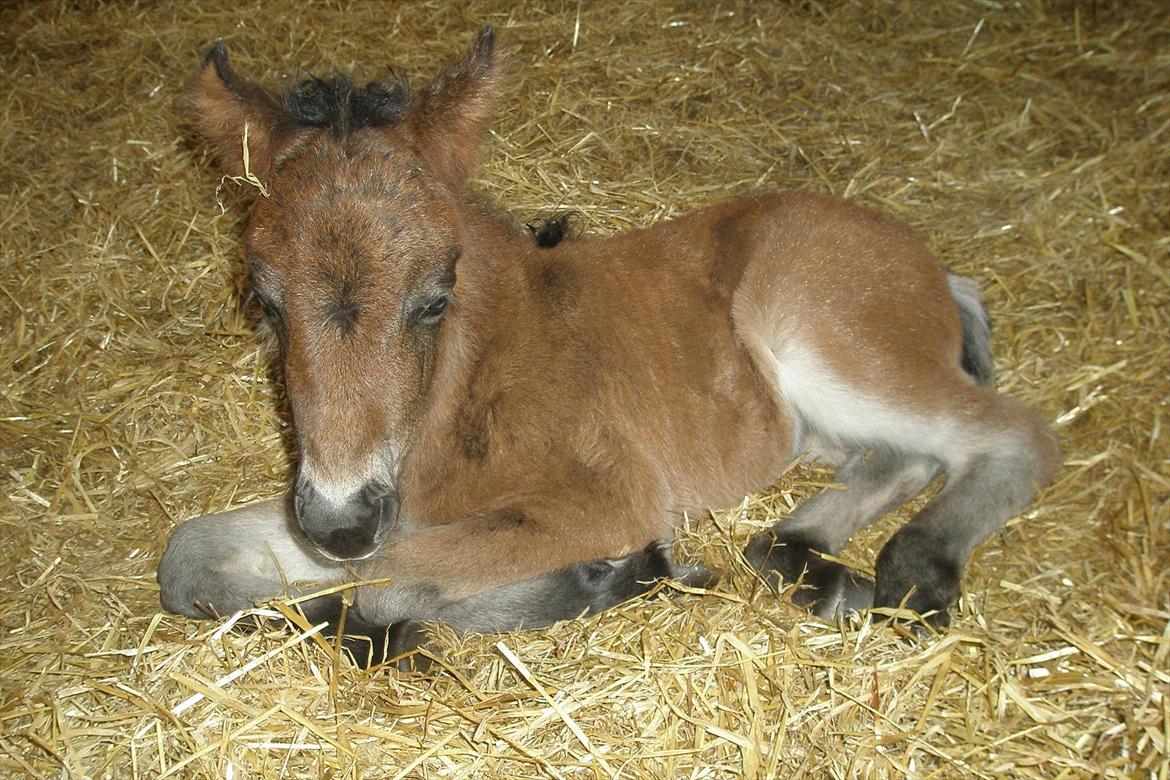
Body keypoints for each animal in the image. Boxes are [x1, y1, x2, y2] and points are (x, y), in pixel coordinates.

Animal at [157, 28, 1062, 654]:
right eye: (266, 302)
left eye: (435, 298)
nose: (339, 525)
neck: (462, 389)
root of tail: (933, 267)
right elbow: (188, 555)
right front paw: (307, 606)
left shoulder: (606, 494)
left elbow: (390, 584)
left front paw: (613, 577)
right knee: (907, 455)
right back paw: (806, 561)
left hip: (831, 343)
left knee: (1013, 435)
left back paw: (912, 570)